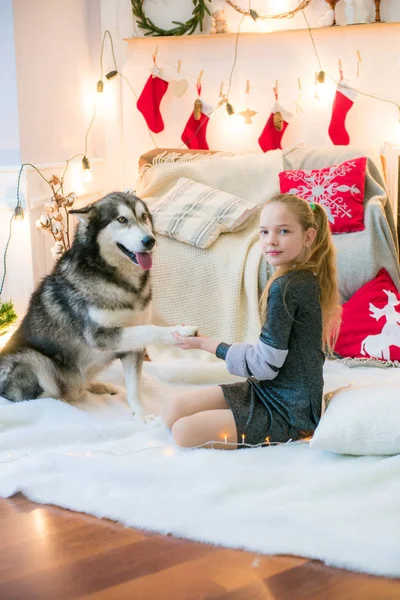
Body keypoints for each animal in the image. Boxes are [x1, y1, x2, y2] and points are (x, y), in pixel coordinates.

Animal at [0, 191, 197, 418]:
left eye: (143, 217)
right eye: (122, 220)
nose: (150, 241)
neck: (120, 282)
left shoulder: (131, 346)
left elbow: (134, 386)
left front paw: (141, 414)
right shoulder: (99, 335)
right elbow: (150, 329)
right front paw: (180, 332)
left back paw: (94, 386)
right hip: (33, 360)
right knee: (50, 395)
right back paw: (68, 401)